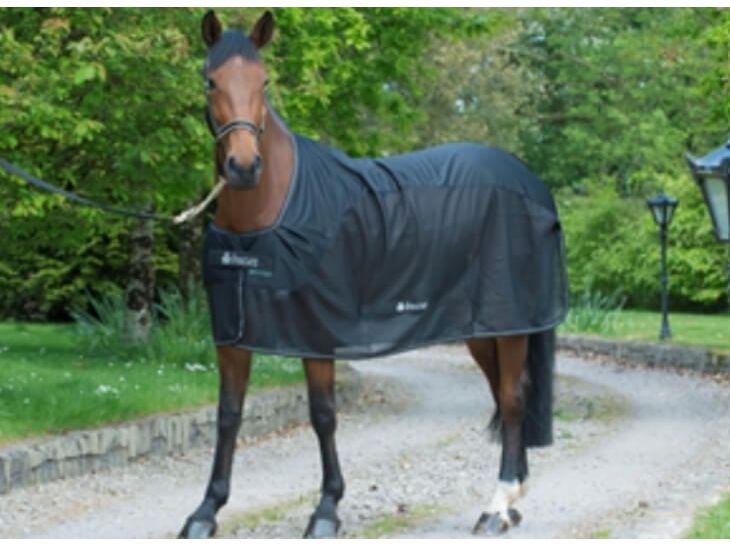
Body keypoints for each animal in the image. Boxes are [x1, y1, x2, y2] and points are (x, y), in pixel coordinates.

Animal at [179, 10, 568, 539]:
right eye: (210, 80)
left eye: (264, 81)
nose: (243, 167)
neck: (268, 213)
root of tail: (530, 182)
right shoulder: (232, 336)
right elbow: (228, 416)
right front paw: (205, 511)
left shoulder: (317, 333)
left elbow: (323, 414)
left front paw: (326, 510)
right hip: (484, 330)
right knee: (506, 396)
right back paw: (512, 502)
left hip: (510, 325)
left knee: (511, 399)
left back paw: (496, 506)